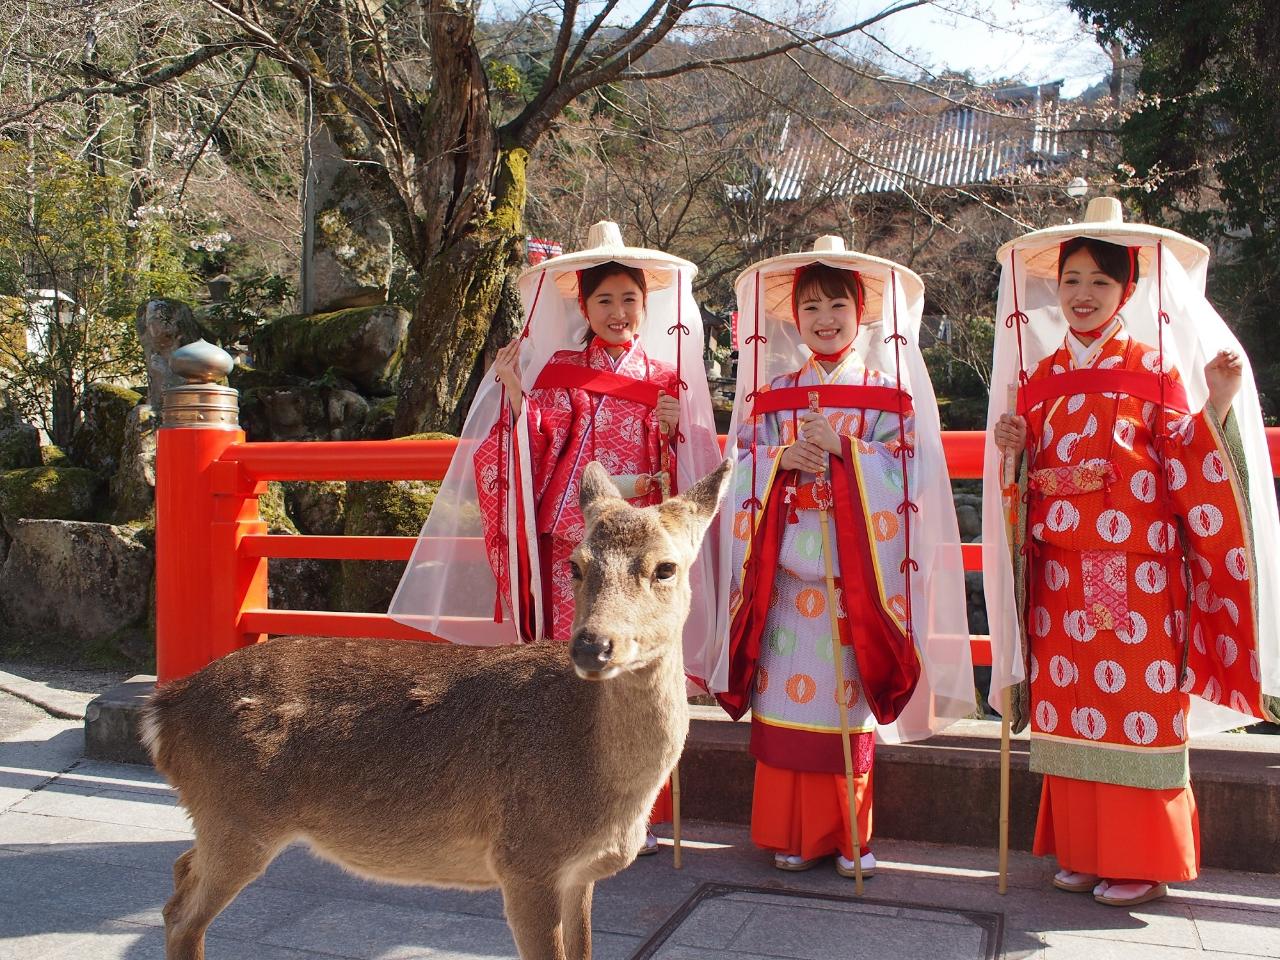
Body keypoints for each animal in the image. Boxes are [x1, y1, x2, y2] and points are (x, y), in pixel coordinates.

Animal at [140, 458, 732, 960]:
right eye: (575, 565)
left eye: (666, 568)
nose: (592, 647)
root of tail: (162, 713)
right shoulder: (526, 858)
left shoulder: (581, 874)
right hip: (235, 817)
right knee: (181, 912)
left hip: (220, 821)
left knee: (179, 873)